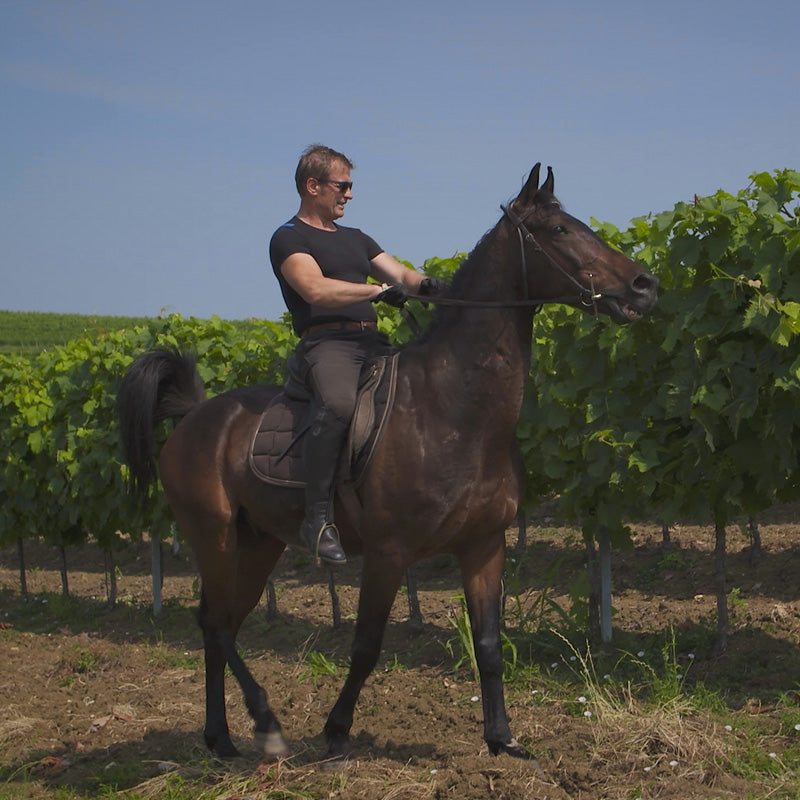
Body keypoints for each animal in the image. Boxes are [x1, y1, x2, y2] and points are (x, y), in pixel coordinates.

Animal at [117, 162, 656, 764]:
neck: (453, 408)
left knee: (225, 624)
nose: (644, 285)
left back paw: (224, 738)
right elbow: (366, 646)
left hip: (259, 545)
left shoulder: (484, 545)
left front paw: (502, 739)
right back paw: (263, 723)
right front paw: (335, 732)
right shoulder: (387, 552)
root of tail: (194, 416)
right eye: (560, 230)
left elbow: (489, 644)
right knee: (213, 623)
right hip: (213, 537)